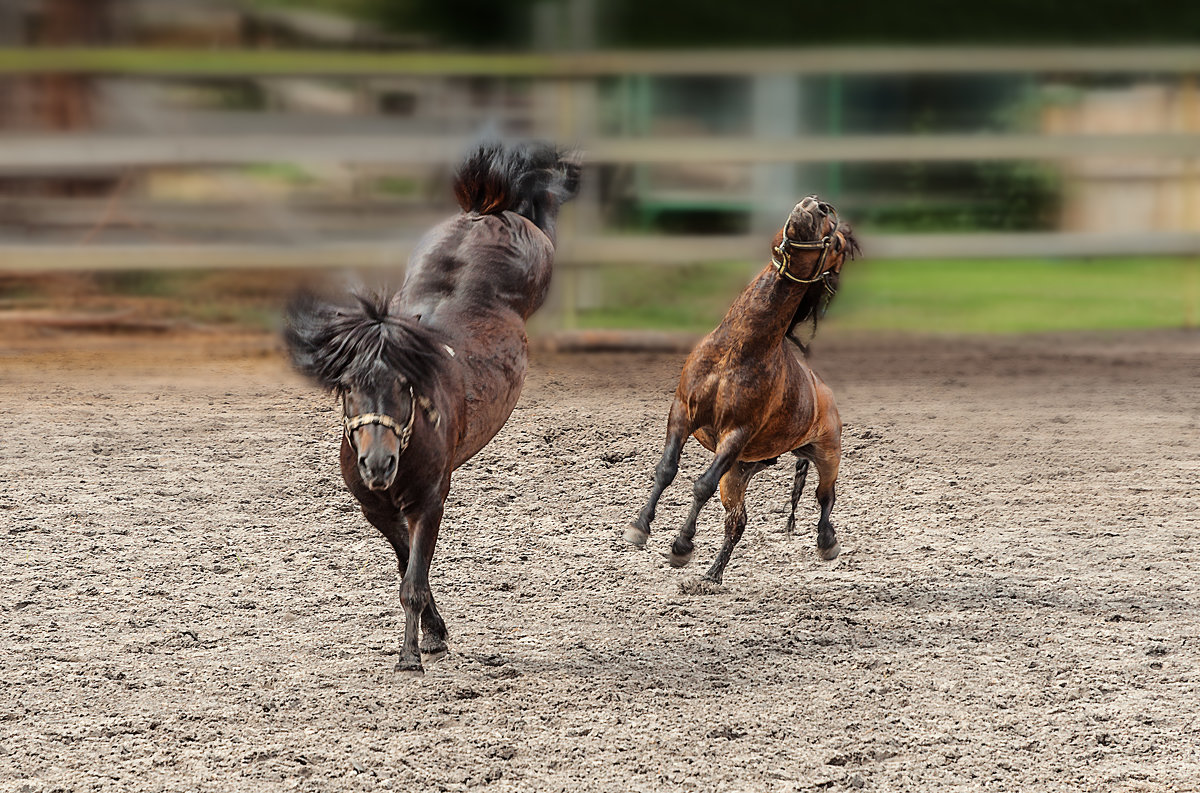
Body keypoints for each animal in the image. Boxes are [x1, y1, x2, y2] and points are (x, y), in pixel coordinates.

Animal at [283, 139, 578, 671]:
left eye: (406, 386)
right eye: (347, 386)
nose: (378, 464)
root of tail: (482, 213)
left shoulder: (430, 501)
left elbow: (413, 583)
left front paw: (411, 655)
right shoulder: (377, 510)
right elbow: (408, 567)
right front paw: (434, 633)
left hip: (537, 254)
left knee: (543, 210)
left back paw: (560, 172)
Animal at [624, 195, 859, 585]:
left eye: (838, 245)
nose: (818, 205)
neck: (738, 350)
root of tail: (823, 392)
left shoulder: (736, 433)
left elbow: (700, 484)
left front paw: (680, 546)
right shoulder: (682, 412)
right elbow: (666, 469)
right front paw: (639, 528)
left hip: (827, 452)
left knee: (825, 496)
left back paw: (828, 543)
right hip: (738, 473)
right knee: (737, 523)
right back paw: (711, 577)